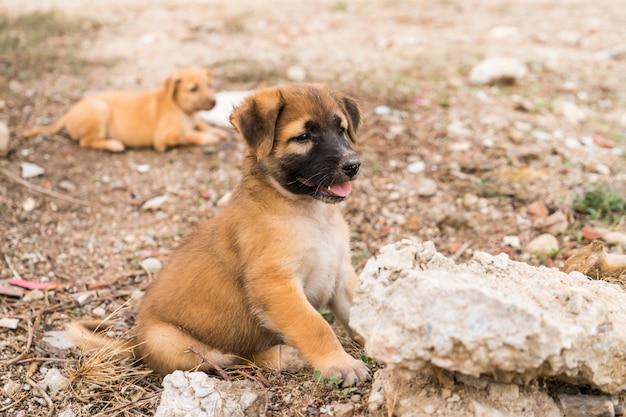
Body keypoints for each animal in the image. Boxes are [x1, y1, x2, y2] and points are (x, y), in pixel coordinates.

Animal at [21, 67, 229, 152]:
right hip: (100, 109)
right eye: (193, 89)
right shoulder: (163, 138)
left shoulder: (194, 119)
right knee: (85, 141)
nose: (214, 103)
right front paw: (210, 138)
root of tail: (68, 114)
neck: (182, 109)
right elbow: (190, 135)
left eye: (210, 85)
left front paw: (216, 130)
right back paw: (113, 144)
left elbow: (200, 125)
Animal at [69, 83, 370, 386]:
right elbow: (315, 326)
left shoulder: (340, 271)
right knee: (235, 358)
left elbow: (358, 310)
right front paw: (340, 363)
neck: (311, 214)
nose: (352, 165)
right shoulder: (276, 285)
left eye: (341, 129)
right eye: (303, 137)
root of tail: (136, 344)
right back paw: (282, 356)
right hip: (173, 342)